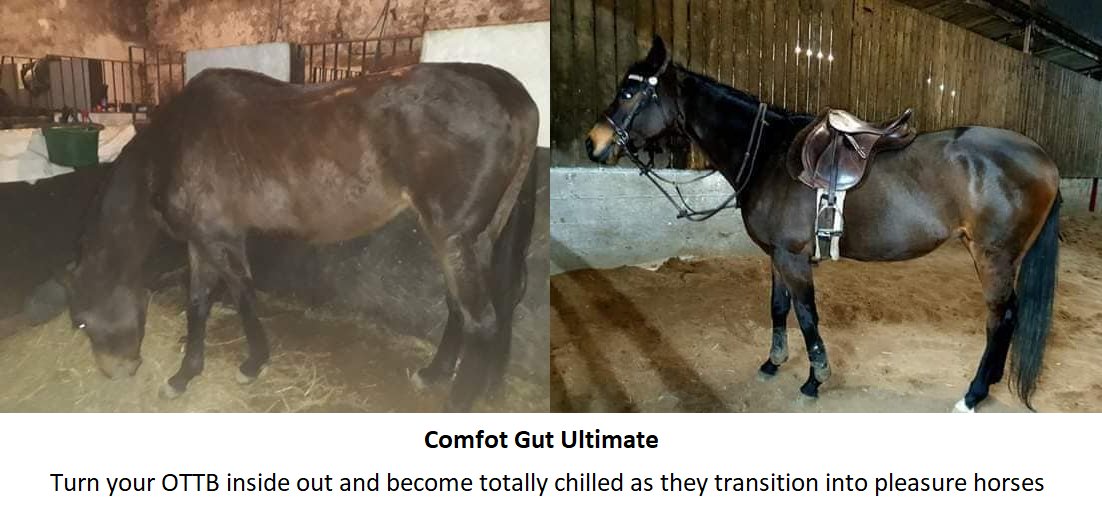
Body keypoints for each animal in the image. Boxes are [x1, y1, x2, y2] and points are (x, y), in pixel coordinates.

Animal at [65, 64, 540, 411]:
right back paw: (437, 374)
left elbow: (242, 293)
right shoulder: (202, 242)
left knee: (480, 321)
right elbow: (198, 302)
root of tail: (512, 94)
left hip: (451, 236)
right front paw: (184, 375)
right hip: (474, 239)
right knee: (463, 306)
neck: (177, 143)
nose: (117, 371)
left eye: (84, 320)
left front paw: (253, 363)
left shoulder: (218, 238)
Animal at [584, 36, 1060, 412]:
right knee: (1010, 315)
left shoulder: (794, 258)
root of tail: (1044, 159)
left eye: (629, 92)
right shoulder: (777, 255)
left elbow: (807, 315)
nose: (593, 143)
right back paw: (989, 383)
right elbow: (778, 309)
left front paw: (815, 379)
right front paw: (773, 363)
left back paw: (973, 394)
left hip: (992, 256)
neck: (769, 153)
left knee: (1000, 317)